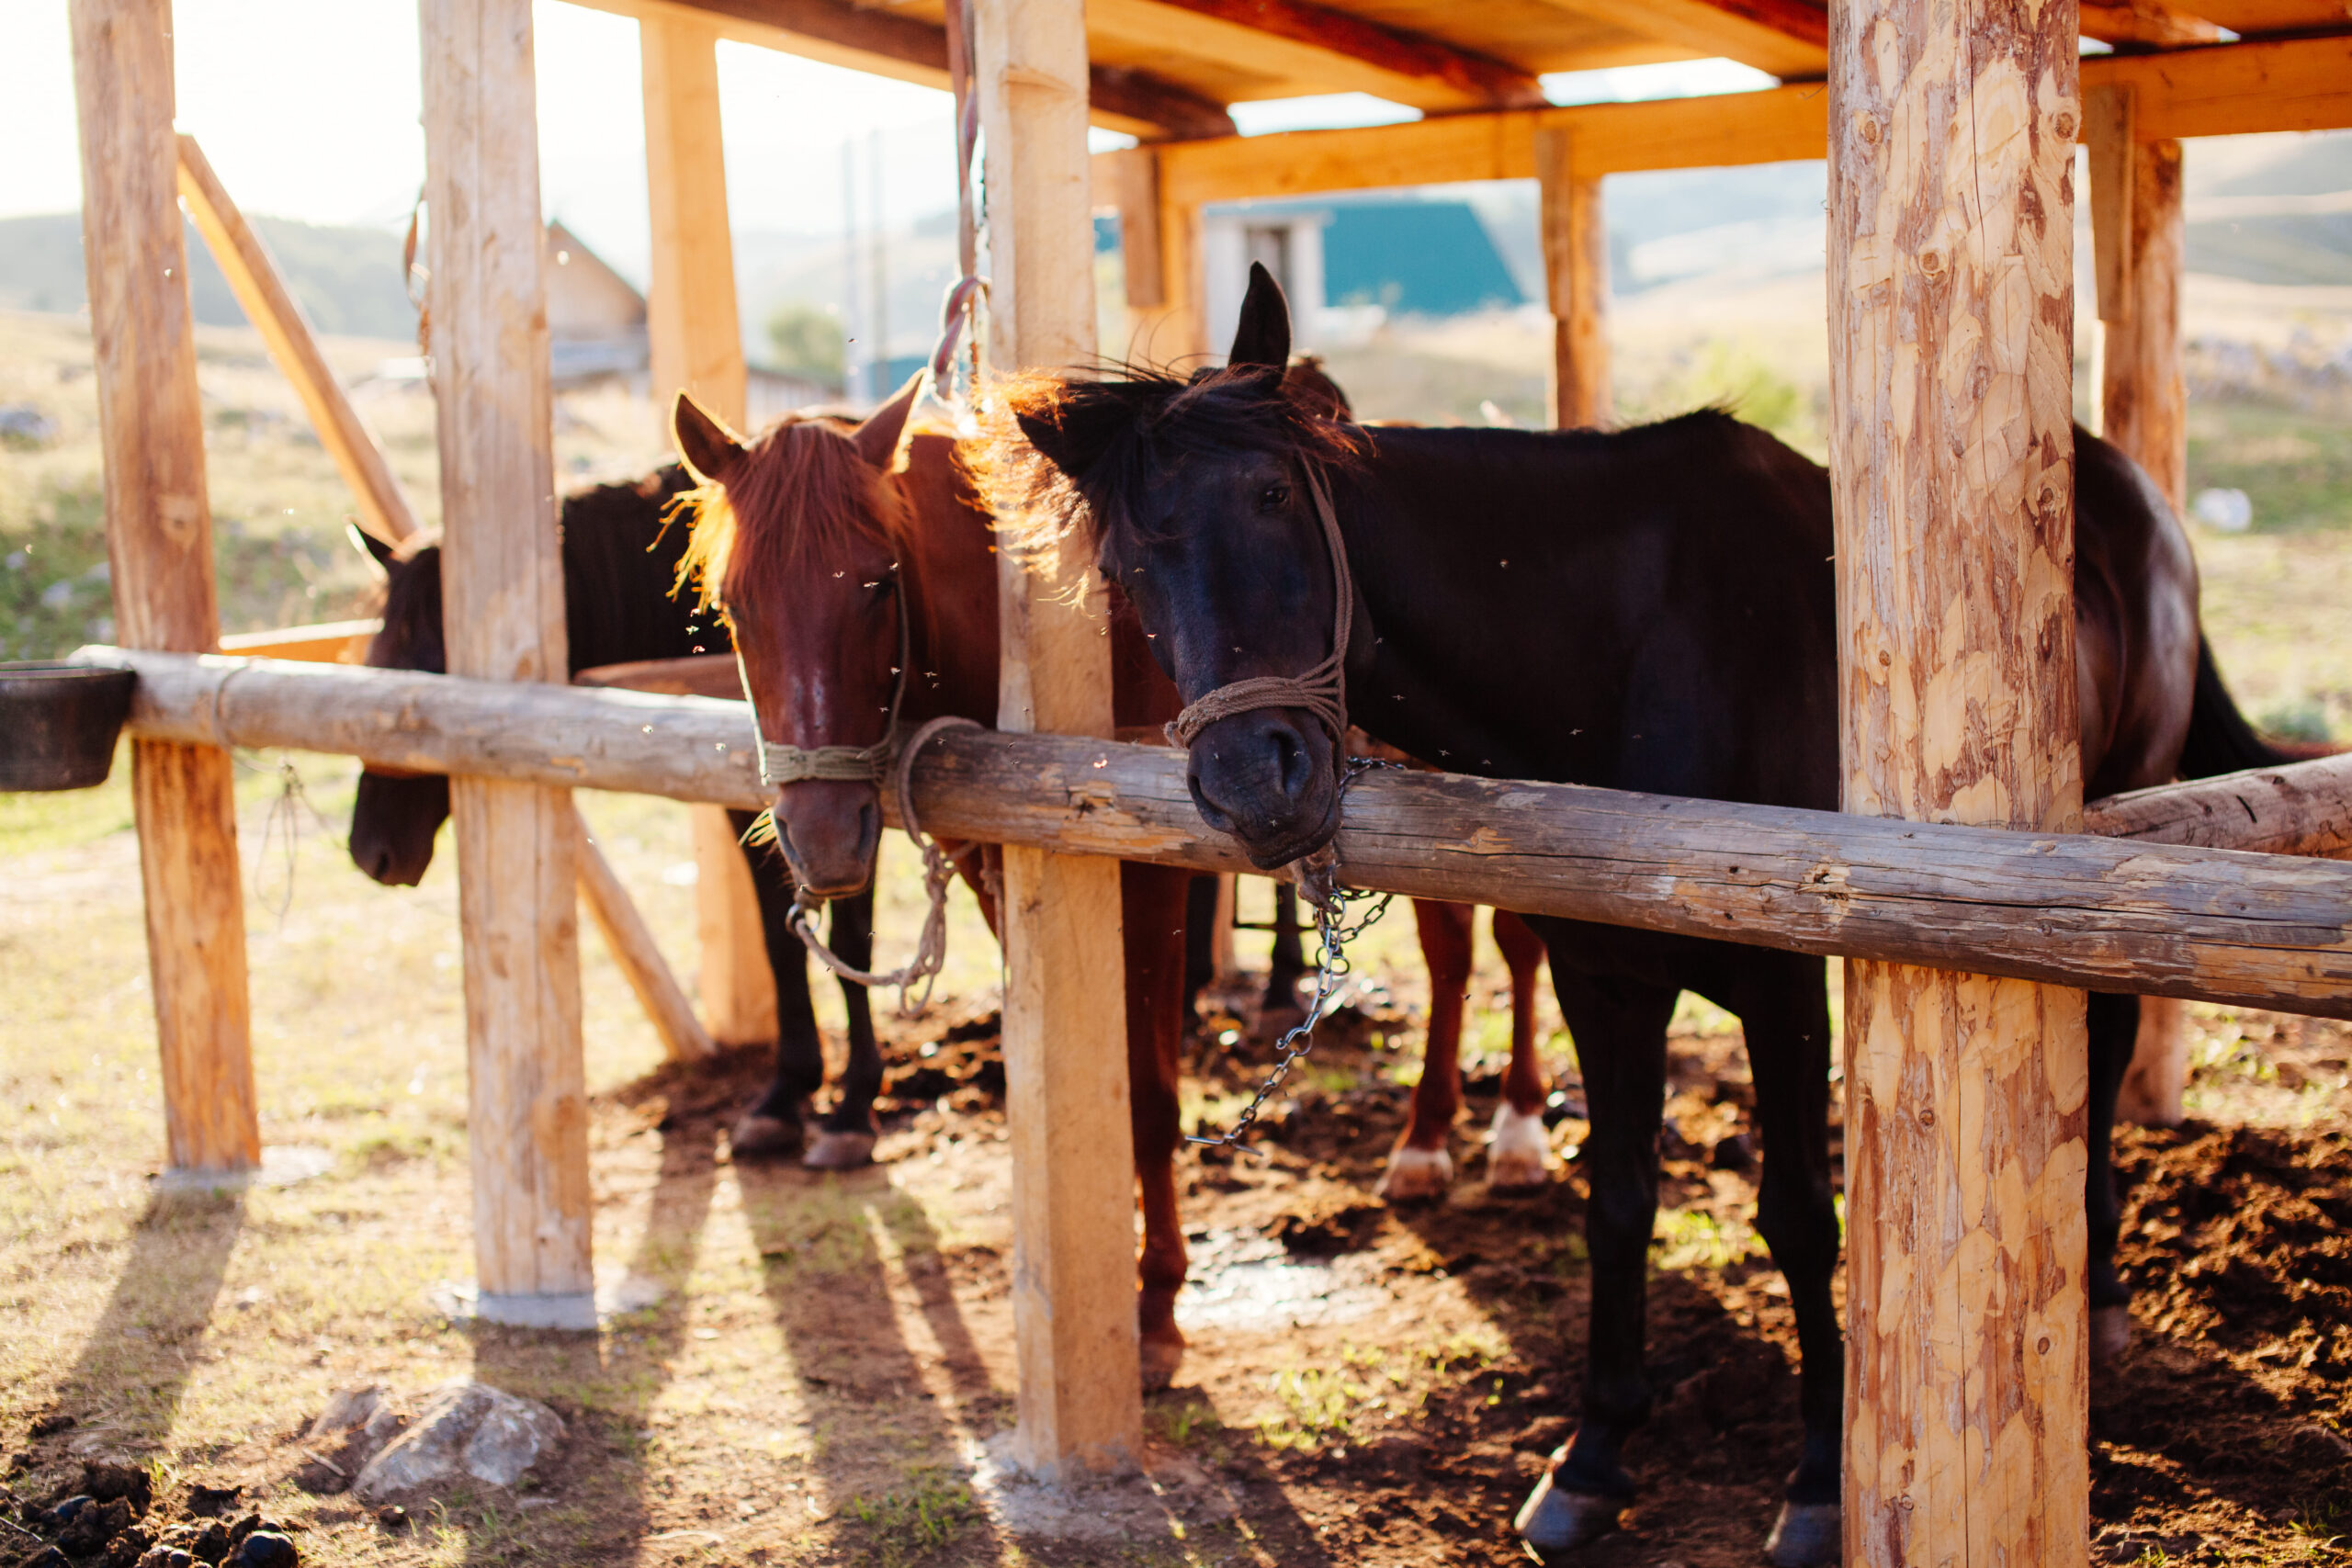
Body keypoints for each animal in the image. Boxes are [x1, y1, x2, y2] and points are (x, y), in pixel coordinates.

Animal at [345, 467, 894, 1169]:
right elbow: (781, 940)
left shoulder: (850, 816)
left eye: (430, 670)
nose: (371, 850)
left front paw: (853, 1108)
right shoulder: (759, 814)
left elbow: (851, 945)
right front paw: (784, 1095)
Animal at [976, 263, 2296, 1564]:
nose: (1259, 781)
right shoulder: (1602, 978)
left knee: (2108, 1041)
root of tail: (2138, 499)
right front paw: (1591, 1456)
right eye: (1125, 570)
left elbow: (1798, 1216)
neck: (1634, 649)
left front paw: (1818, 1480)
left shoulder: (1784, 981)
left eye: (1267, 493)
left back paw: (2104, 1290)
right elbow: (1617, 1201)